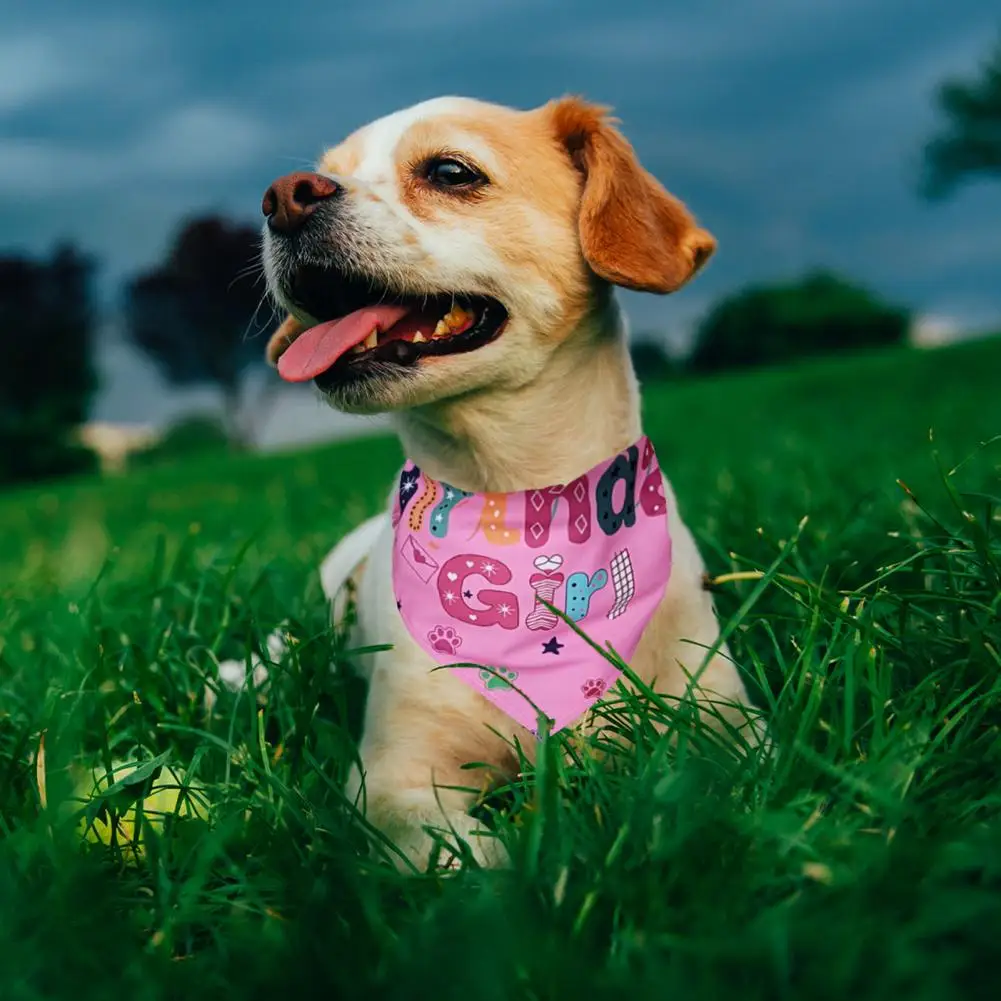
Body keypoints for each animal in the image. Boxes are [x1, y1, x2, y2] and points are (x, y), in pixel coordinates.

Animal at [258, 97, 756, 872]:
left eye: (450, 171)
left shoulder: (728, 722)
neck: (520, 500)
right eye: (324, 170)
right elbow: (464, 855)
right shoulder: (393, 779)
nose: (283, 195)